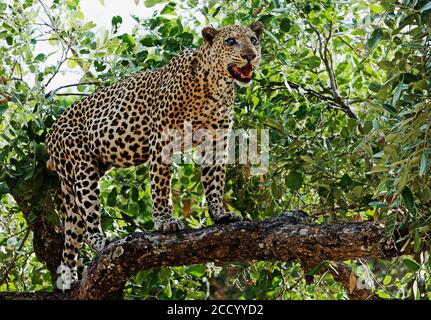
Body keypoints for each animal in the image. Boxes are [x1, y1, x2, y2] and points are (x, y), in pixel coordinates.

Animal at [45, 22, 264, 286]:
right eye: (231, 41)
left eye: (253, 40)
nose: (250, 56)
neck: (215, 87)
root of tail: (50, 133)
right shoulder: (162, 141)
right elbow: (160, 187)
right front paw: (164, 222)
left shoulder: (216, 142)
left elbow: (214, 183)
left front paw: (220, 214)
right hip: (83, 169)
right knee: (88, 220)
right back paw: (102, 241)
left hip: (73, 184)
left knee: (72, 232)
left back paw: (67, 278)